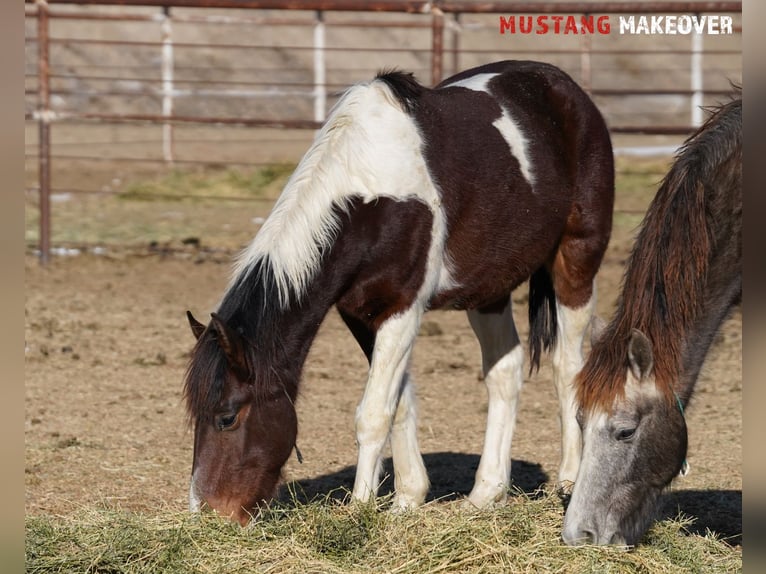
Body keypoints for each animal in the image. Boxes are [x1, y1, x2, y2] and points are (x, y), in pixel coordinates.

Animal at [183, 59, 616, 528]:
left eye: (227, 417)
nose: (207, 514)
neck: (368, 195)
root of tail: (564, 87)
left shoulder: (402, 308)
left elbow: (374, 413)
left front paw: (359, 509)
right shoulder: (361, 313)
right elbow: (400, 402)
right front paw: (408, 498)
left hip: (576, 262)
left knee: (567, 365)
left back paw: (570, 479)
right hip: (489, 291)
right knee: (505, 372)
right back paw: (486, 493)